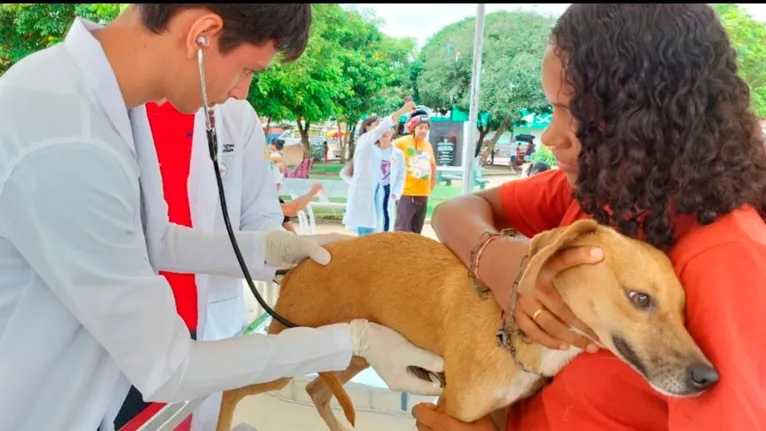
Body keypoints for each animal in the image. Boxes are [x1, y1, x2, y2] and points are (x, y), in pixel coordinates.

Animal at [216, 221, 720, 430]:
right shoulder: (449, 413)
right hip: (286, 349)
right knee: (231, 388)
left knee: (317, 390)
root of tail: (300, 265)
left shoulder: (494, 415)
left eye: (684, 308)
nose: (707, 377)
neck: (509, 333)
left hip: (351, 352)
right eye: (640, 299)